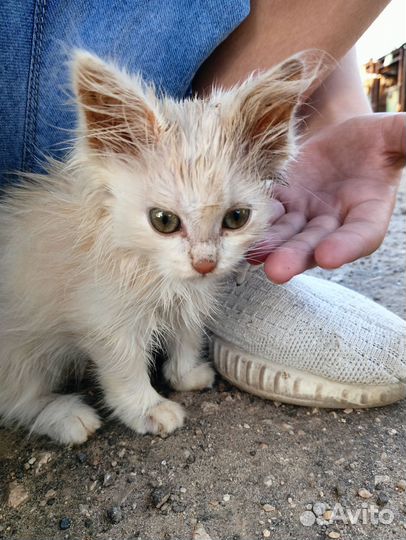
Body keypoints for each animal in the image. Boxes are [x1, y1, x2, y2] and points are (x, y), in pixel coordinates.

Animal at [0, 49, 310, 442]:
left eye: (236, 218)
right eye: (163, 221)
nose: (205, 263)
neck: (152, 270)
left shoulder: (190, 298)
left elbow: (188, 333)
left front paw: (186, 374)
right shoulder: (103, 319)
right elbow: (125, 370)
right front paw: (147, 409)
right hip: (19, 351)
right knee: (16, 400)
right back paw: (64, 416)